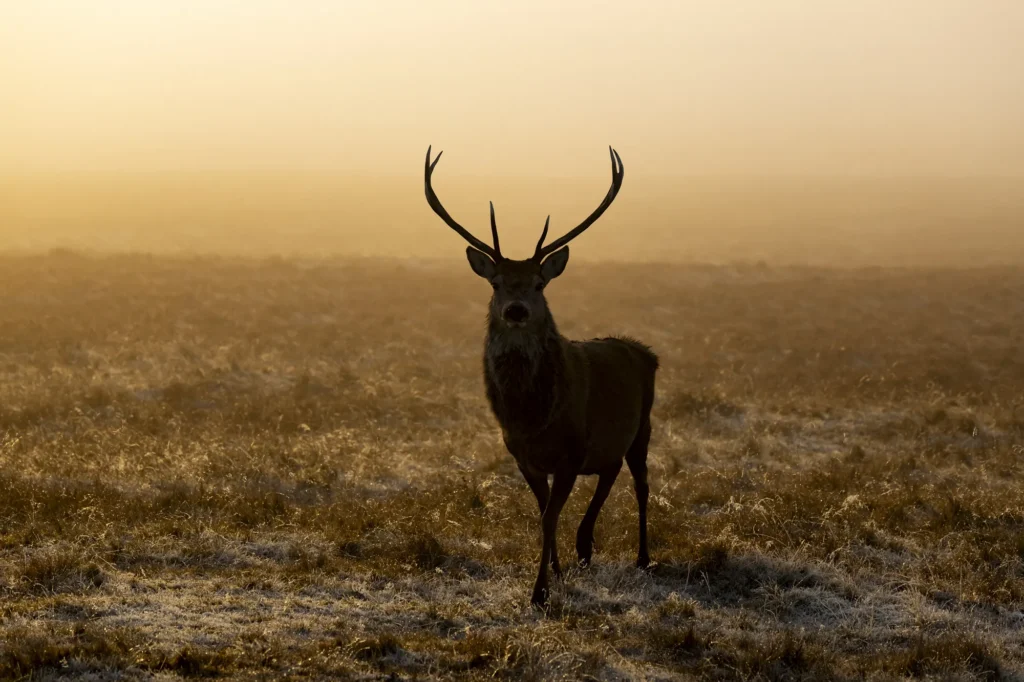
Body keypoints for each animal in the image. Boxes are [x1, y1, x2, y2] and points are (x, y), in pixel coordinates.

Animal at [424, 145, 659, 607]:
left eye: (539, 284)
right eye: (496, 282)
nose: (516, 310)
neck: (533, 417)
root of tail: (645, 352)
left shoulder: (571, 452)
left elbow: (550, 517)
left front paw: (540, 591)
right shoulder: (523, 457)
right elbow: (543, 511)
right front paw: (557, 570)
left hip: (643, 427)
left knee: (640, 484)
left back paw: (642, 558)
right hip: (609, 445)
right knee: (608, 477)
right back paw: (584, 548)